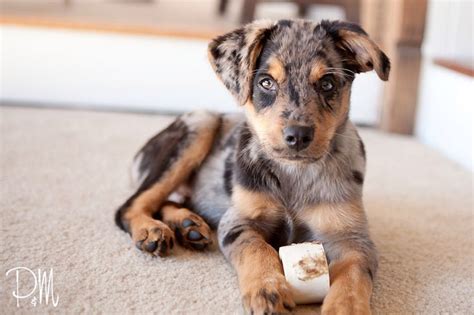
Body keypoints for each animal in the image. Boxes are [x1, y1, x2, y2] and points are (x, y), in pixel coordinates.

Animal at [115, 18, 388, 314]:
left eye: (327, 84)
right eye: (266, 82)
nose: (298, 136)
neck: (294, 174)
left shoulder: (352, 238)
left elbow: (353, 275)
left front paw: (345, 307)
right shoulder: (239, 220)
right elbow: (256, 249)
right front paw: (267, 288)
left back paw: (188, 225)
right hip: (200, 122)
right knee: (130, 206)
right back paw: (151, 229)